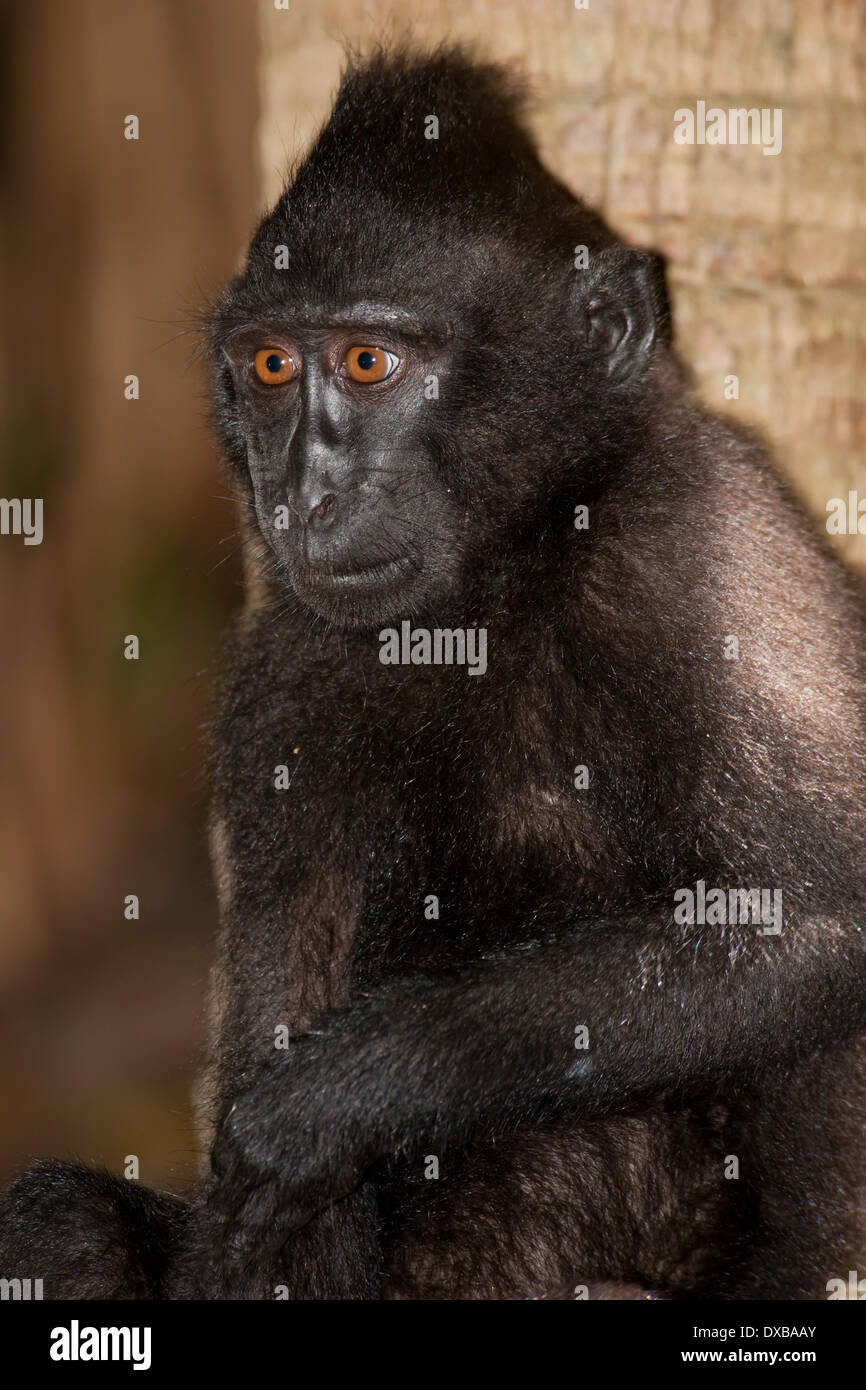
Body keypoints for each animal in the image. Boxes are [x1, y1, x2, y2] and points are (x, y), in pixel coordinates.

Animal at [1, 43, 866, 1295]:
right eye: (271, 366)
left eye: (368, 362)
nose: (303, 494)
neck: (489, 595)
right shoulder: (279, 673)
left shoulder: (702, 533)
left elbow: (816, 918)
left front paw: (341, 1096)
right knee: (58, 1220)